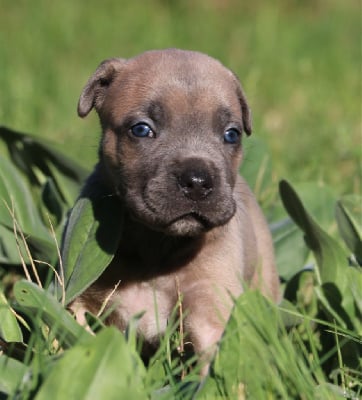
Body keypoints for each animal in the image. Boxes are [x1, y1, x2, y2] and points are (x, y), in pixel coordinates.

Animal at [70, 48, 280, 370]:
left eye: (231, 134)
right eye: (141, 129)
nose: (198, 181)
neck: (155, 247)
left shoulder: (210, 311)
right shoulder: (82, 298)